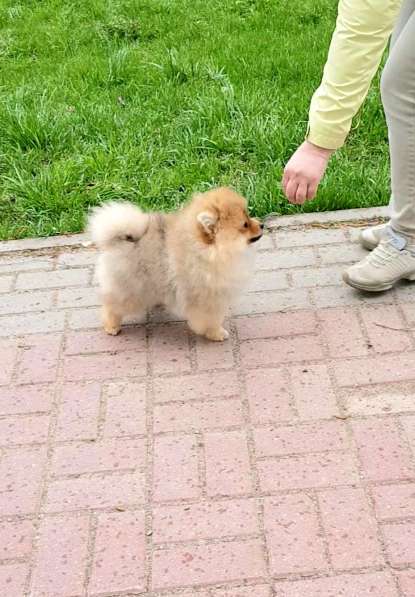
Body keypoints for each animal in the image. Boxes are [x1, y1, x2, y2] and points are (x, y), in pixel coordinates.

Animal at [88, 189, 264, 342]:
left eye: (248, 216)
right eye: (245, 224)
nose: (262, 224)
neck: (208, 252)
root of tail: (121, 241)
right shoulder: (207, 298)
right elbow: (210, 319)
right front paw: (216, 333)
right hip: (130, 289)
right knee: (112, 305)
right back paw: (111, 326)